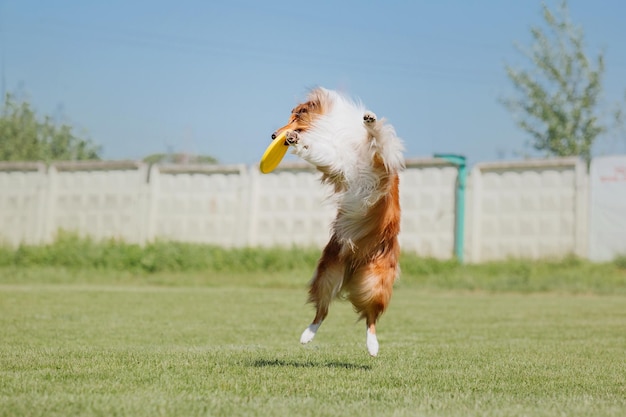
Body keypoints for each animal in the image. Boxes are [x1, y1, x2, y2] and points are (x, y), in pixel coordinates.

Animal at [270, 87, 402, 354]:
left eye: (297, 116)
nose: (274, 135)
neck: (330, 129)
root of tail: (353, 267)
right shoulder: (336, 161)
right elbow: (319, 150)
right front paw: (297, 141)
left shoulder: (378, 161)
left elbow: (379, 140)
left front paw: (370, 121)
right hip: (328, 273)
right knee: (322, 311)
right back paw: (307, 335)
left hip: (375, 282)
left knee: (371, 317)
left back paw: (373, 346)